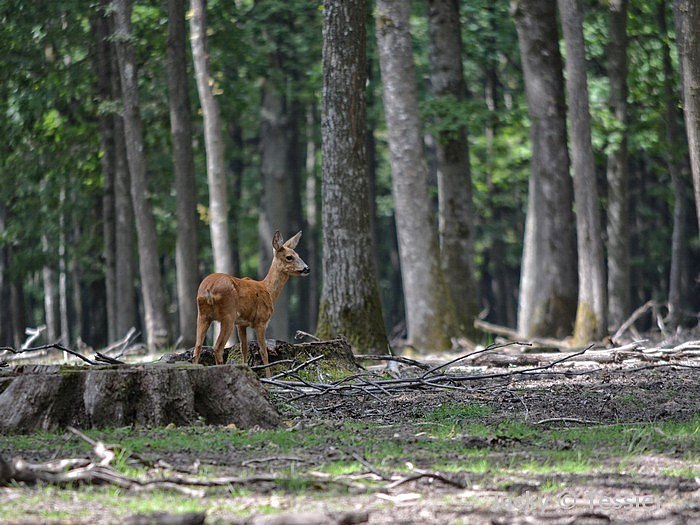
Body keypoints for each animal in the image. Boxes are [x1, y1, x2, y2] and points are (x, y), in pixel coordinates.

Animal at [193, 231, 310, 374]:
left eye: (298, 255)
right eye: (289, 257)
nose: (306, 268)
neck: (268, 290)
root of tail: (209, 289)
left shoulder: (241, 324)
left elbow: (244, 348)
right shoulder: (261, 321)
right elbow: (264, 351)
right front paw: (268, 375)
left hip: (203, 315)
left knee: (197, 347)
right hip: (228, 315)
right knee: (217, 348)